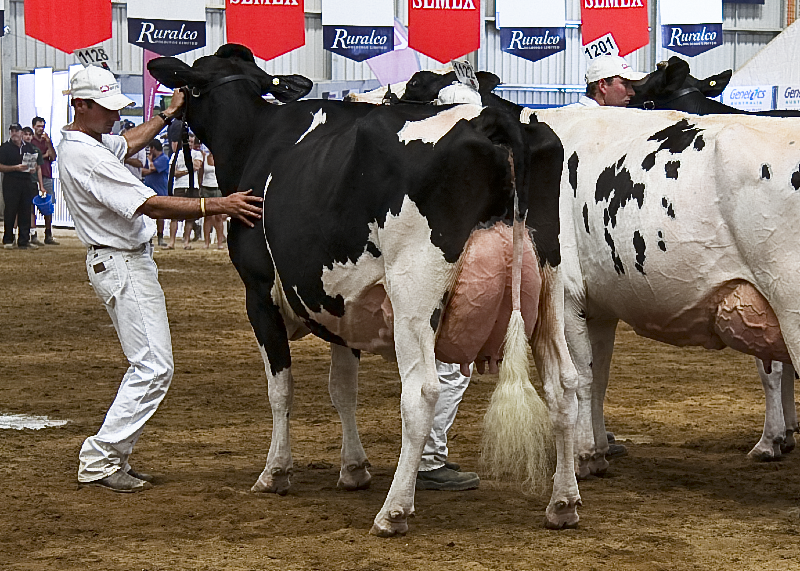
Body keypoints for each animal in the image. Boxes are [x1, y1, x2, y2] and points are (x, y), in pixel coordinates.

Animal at [148, 44, 582, 535]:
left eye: (189, 84)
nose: (168, 112)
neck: (256, 140)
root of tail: (495, 118)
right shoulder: (344, 305)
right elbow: (343, 388)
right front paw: (353, 468)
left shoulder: (258, 294)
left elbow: (281, 389)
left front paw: (275, 472)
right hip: (548, 287)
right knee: (564, 385)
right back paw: (563, 503)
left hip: (415, 292)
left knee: (422, 392)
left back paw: (393, 511)